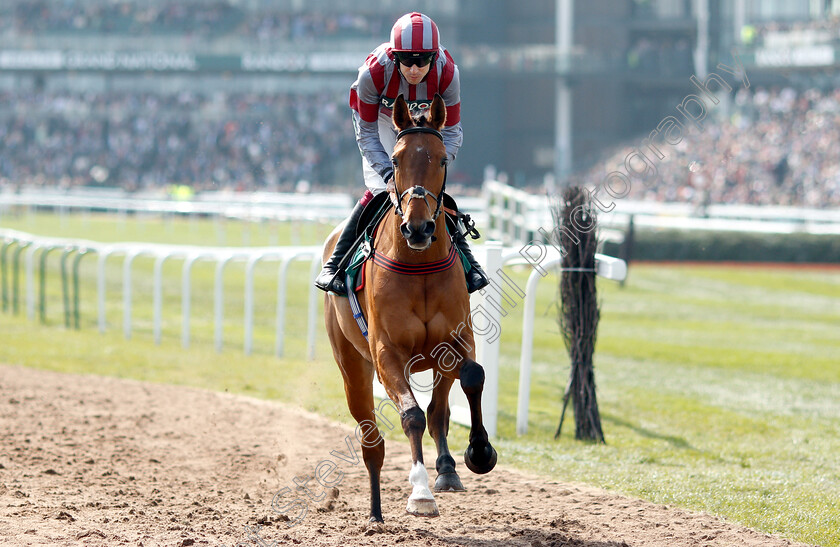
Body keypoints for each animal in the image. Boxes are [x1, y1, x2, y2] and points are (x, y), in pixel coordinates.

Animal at [320, 93, 492, 524]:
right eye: (396, 161)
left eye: (442, 159)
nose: (418, 228)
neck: (419, 265)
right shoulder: (387, 354)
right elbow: (411, 415)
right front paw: (420, 493)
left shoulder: (457, 340)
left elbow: (471, 378)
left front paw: (479, 452)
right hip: (352, 367)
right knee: (372, 441)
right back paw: (376, 513)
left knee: (439, 410)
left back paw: (447, 469)